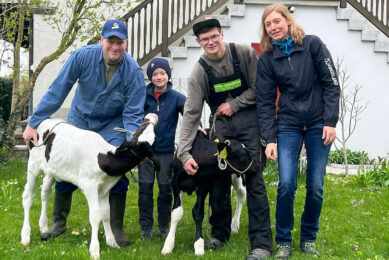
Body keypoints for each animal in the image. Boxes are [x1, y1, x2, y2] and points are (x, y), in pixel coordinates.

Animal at [20, 114, 158, 260]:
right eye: (140, 130)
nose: (151, 117)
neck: (103, 158)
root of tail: (48, 119)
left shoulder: (105, 188)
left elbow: (106, 213)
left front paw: (112, 242)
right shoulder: (90, 185)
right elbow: (95, 215)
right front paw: (95, 250)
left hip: (52, 170)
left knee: (45, 192)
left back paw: (43, 225)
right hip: (33, 165)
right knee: (28, 196)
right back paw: (25, 235)